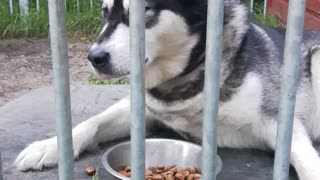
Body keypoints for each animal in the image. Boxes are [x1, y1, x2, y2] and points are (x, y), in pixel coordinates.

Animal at [13, 0, 320, 179]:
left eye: (144, 11)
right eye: (104, 12)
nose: (95, 58)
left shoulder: (279, 119)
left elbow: (305, 159)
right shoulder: (145, 110)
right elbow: (92, 122)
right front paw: (50, 146)